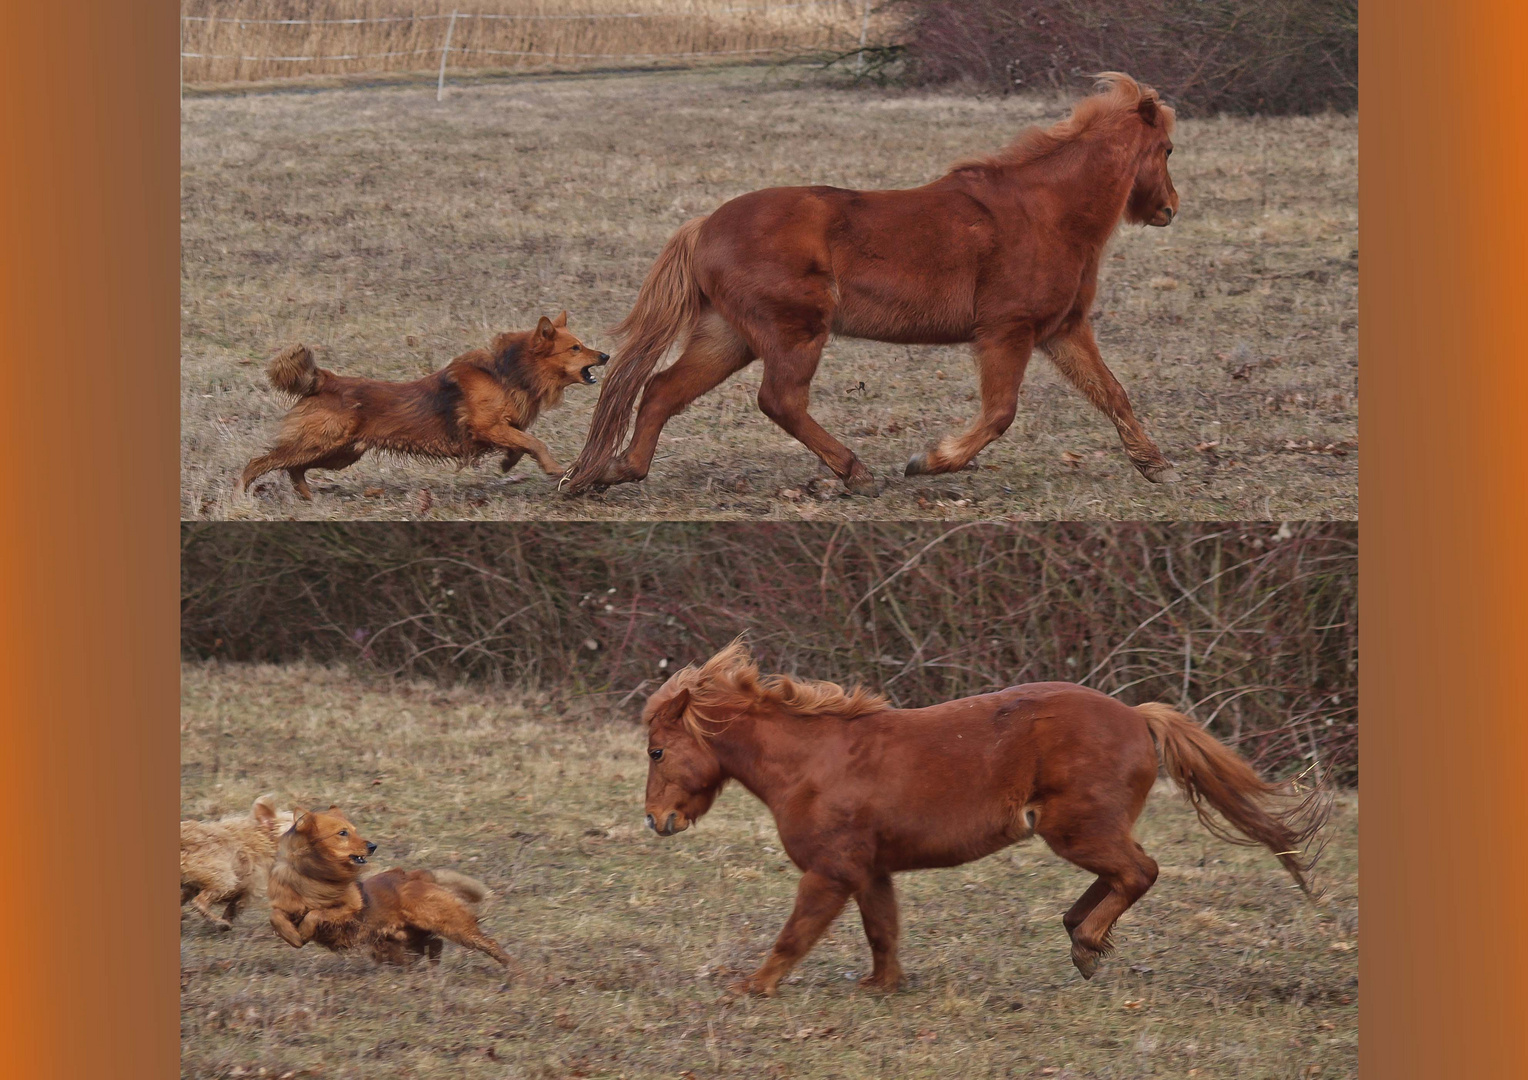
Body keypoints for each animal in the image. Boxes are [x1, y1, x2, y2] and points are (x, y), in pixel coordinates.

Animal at [180, 788, 293, 934]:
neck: (264, 838)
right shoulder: (249, 886)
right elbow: (235, 904)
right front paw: (226, 920)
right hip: (223, 878)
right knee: (199, 902)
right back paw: (220, 923)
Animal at [238, 310, 608, 501]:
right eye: (575, 348)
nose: (605, 355)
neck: (510, 372)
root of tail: (326, 379)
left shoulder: (499, 429)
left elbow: (521, 443)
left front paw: (507, 463)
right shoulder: (485, 426)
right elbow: (536, 442)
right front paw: (554, 468)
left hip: (340, 453)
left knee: (293, 467)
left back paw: (307, 497)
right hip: (323, 443)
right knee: (261, 462)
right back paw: (242, 493)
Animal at [267, 800, 513, 971]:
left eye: (355, 830)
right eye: (342, 833)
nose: (373, 846)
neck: (313, 875)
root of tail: (413, 875)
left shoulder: (350, 907)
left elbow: (316, 913)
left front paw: (303, 931)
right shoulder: (285, 905)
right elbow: (276, 916)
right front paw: (292, 935)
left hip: (452, 925)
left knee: (489, 943)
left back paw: (514, 972)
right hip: (404, 939)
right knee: (434, 945)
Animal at [574, 74, 1179, 494]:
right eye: (1168, 149)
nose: (1170, 209)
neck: (1046, 211)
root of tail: (704, 226)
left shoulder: (1063, 331)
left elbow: (1112, 393)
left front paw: (1156, 465)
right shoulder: (1008, 332)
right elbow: (1001, 413)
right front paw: (929, 462)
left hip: (729, 336)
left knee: (661, 390)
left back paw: (615, 472)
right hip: (793, 332)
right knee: (779, 400)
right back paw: (856, 473)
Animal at [641, 641, 1326, 995]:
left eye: (656, 751)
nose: (655, 820)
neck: (813, 763)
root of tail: (1137, 716)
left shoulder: (829, 874)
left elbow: (794, 936)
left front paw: (751, 988)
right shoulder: (870, 872)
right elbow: (883, 932)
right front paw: (881, 987)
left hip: (1073, 829)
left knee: (1139, 872)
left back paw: (1086, 943)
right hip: (1078, 829)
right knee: (1122, 875)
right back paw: (1080, 935)